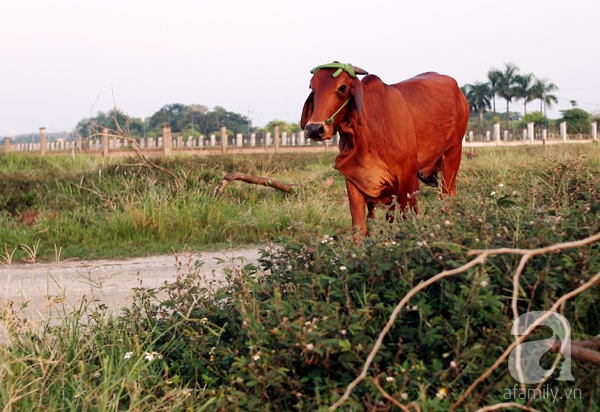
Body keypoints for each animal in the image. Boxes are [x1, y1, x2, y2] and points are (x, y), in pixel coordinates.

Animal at [300, 61, 468, 235]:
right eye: (312, 87)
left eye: (342, 87)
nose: (314, 129)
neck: (365, 134)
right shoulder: (354, 179)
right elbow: (360, 227)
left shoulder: (406, 177)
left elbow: (407, 217)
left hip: (452, 154)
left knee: (447, 195)